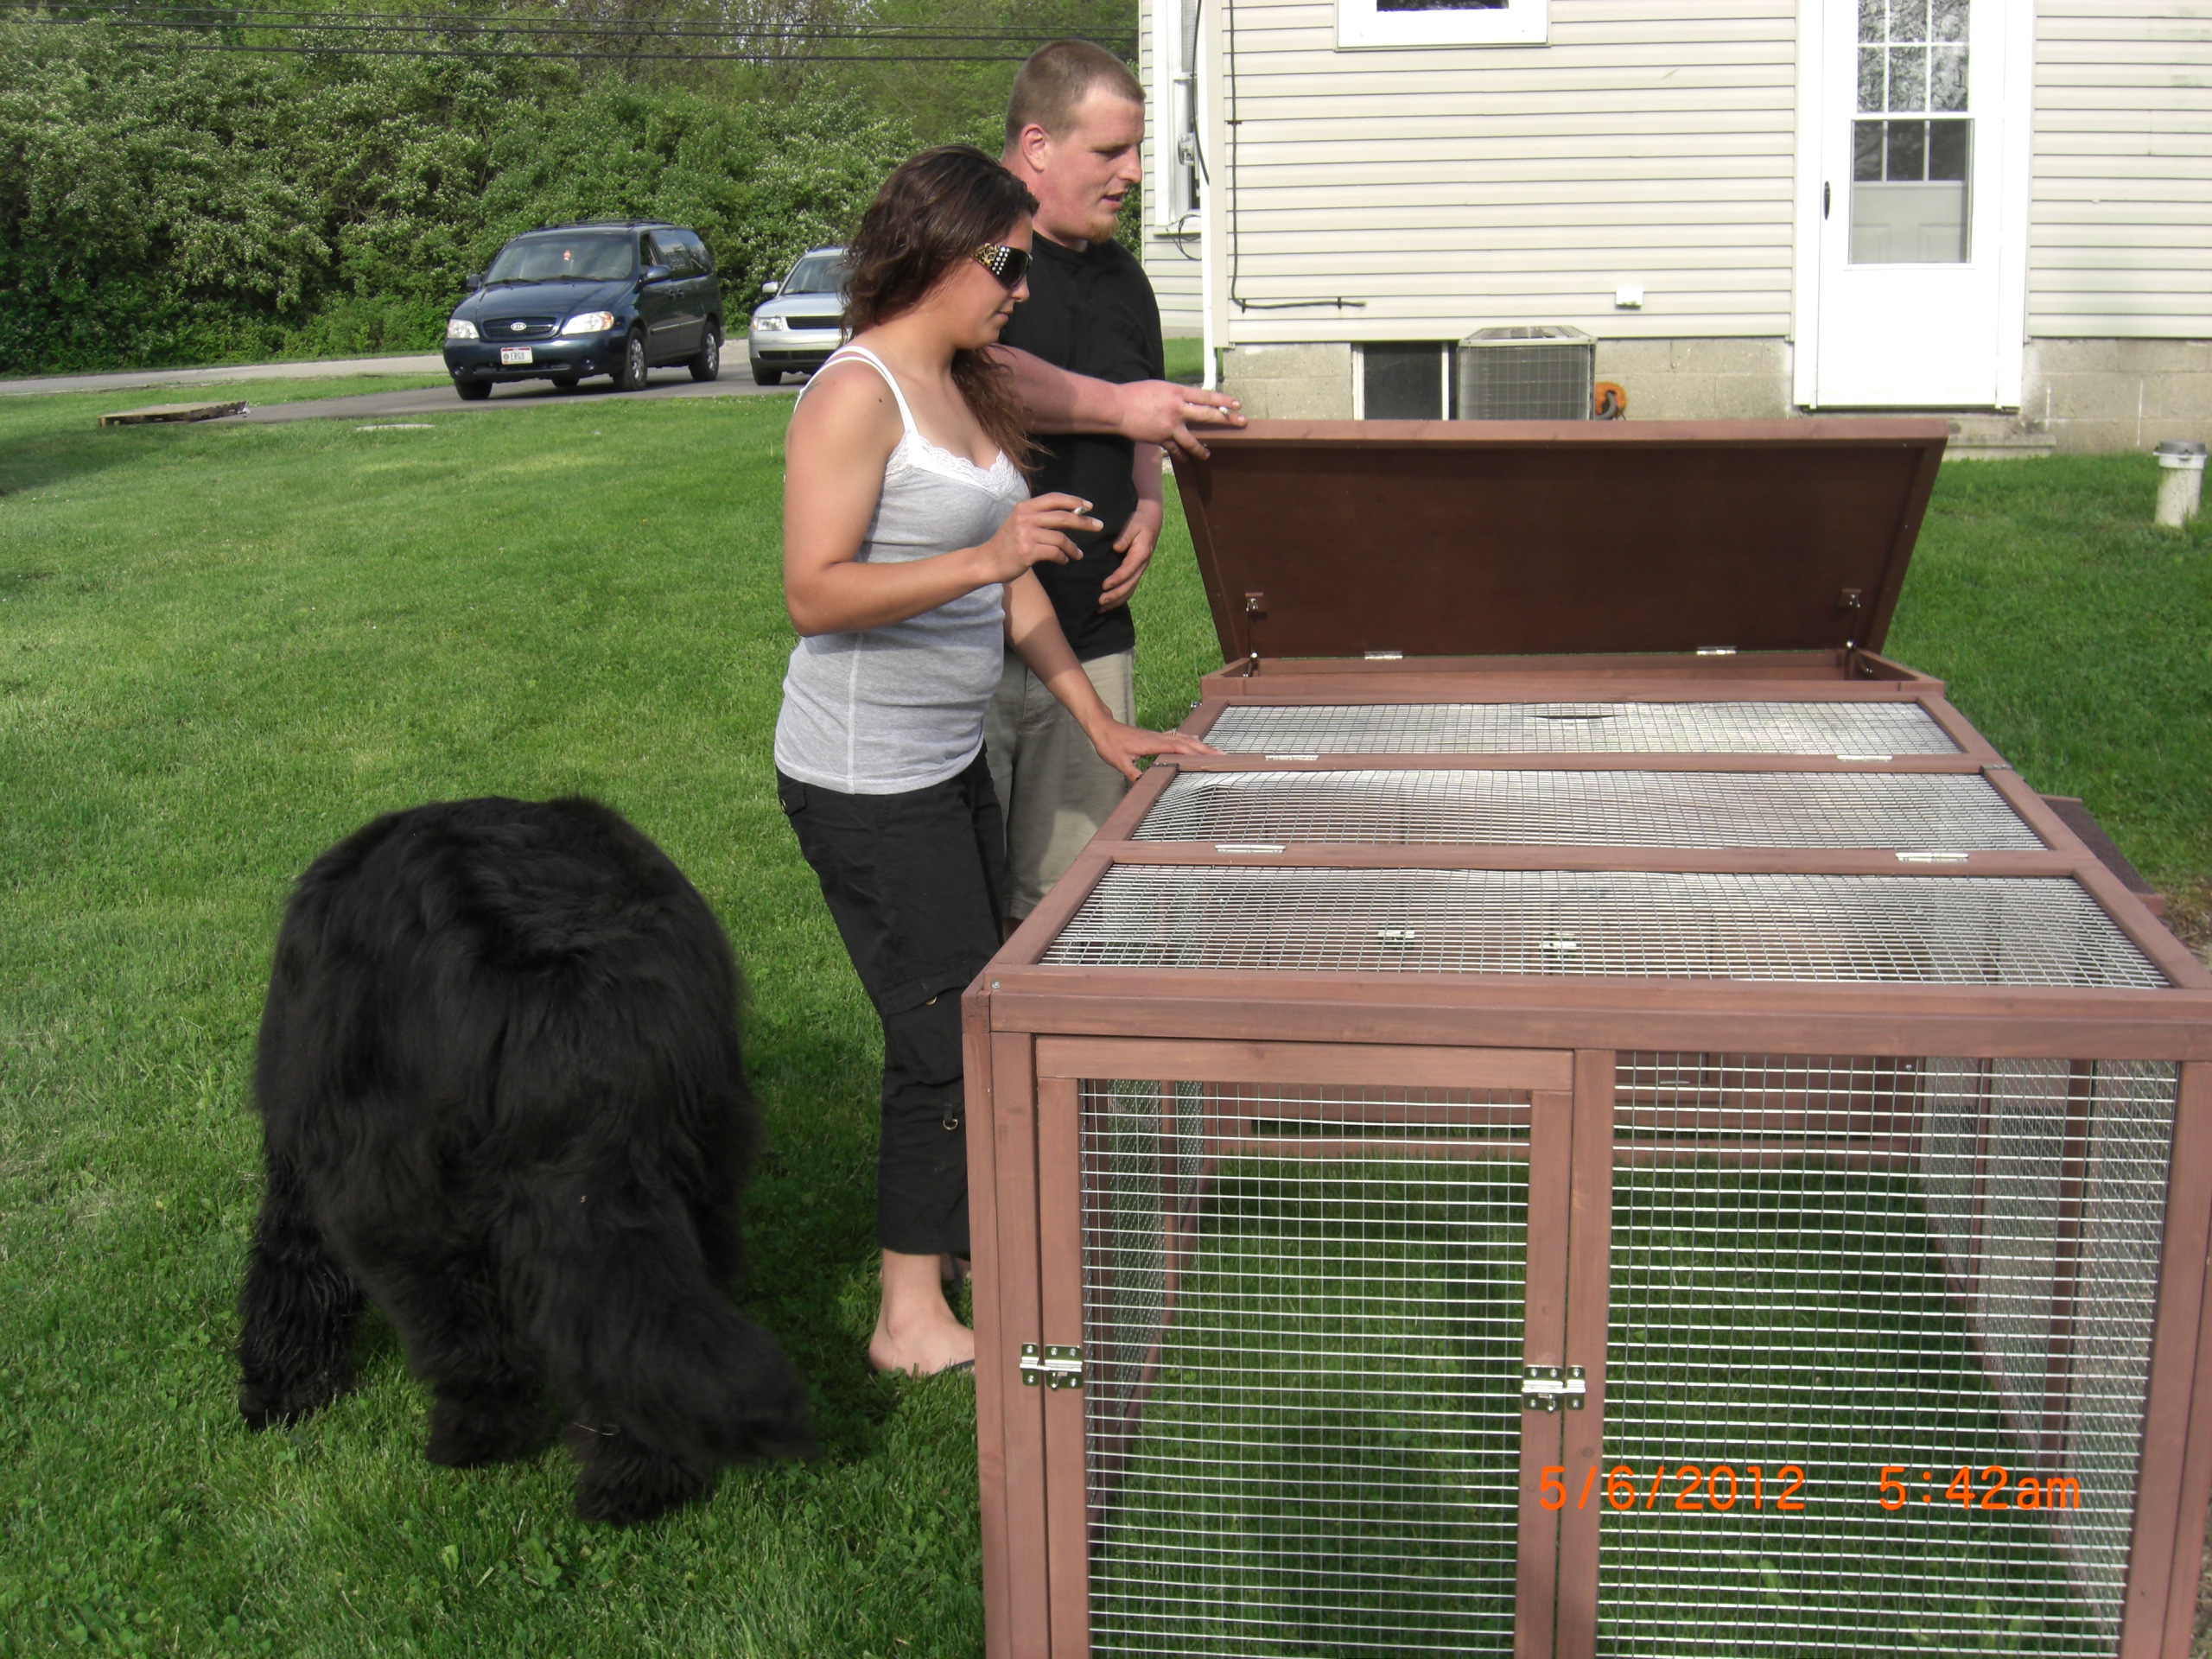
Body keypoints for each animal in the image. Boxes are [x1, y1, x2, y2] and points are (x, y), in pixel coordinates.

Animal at [236, 796, 815, 1524]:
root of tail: (580, 1016)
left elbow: (291, 1265)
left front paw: (280, 1389)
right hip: (694, 1170)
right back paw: (635, 1485)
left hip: (404, 1202)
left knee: (465, 1333)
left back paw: (472, 1441)